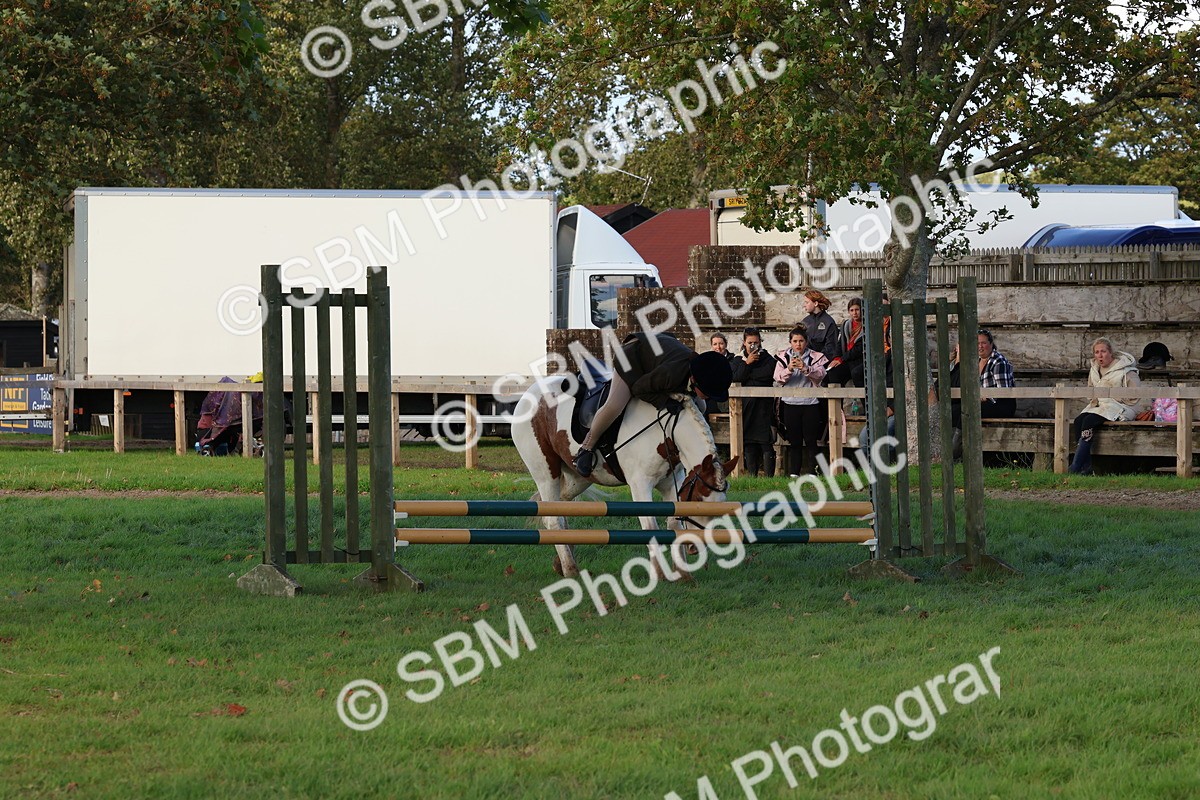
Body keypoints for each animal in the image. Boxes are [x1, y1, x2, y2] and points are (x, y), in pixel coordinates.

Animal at [511, 377, 736, 579]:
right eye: (697, 499)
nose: (695, 547)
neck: (666, 430)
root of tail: (529, 394)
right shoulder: (640, 484)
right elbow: (651, 527)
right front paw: (659, 574)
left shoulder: (673, 482)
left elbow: (674, 524)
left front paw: (682, 574)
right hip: (547, 474)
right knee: (553, 518)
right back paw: (570, 569)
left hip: (578, 479)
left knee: (559, 508)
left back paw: (563, 562)